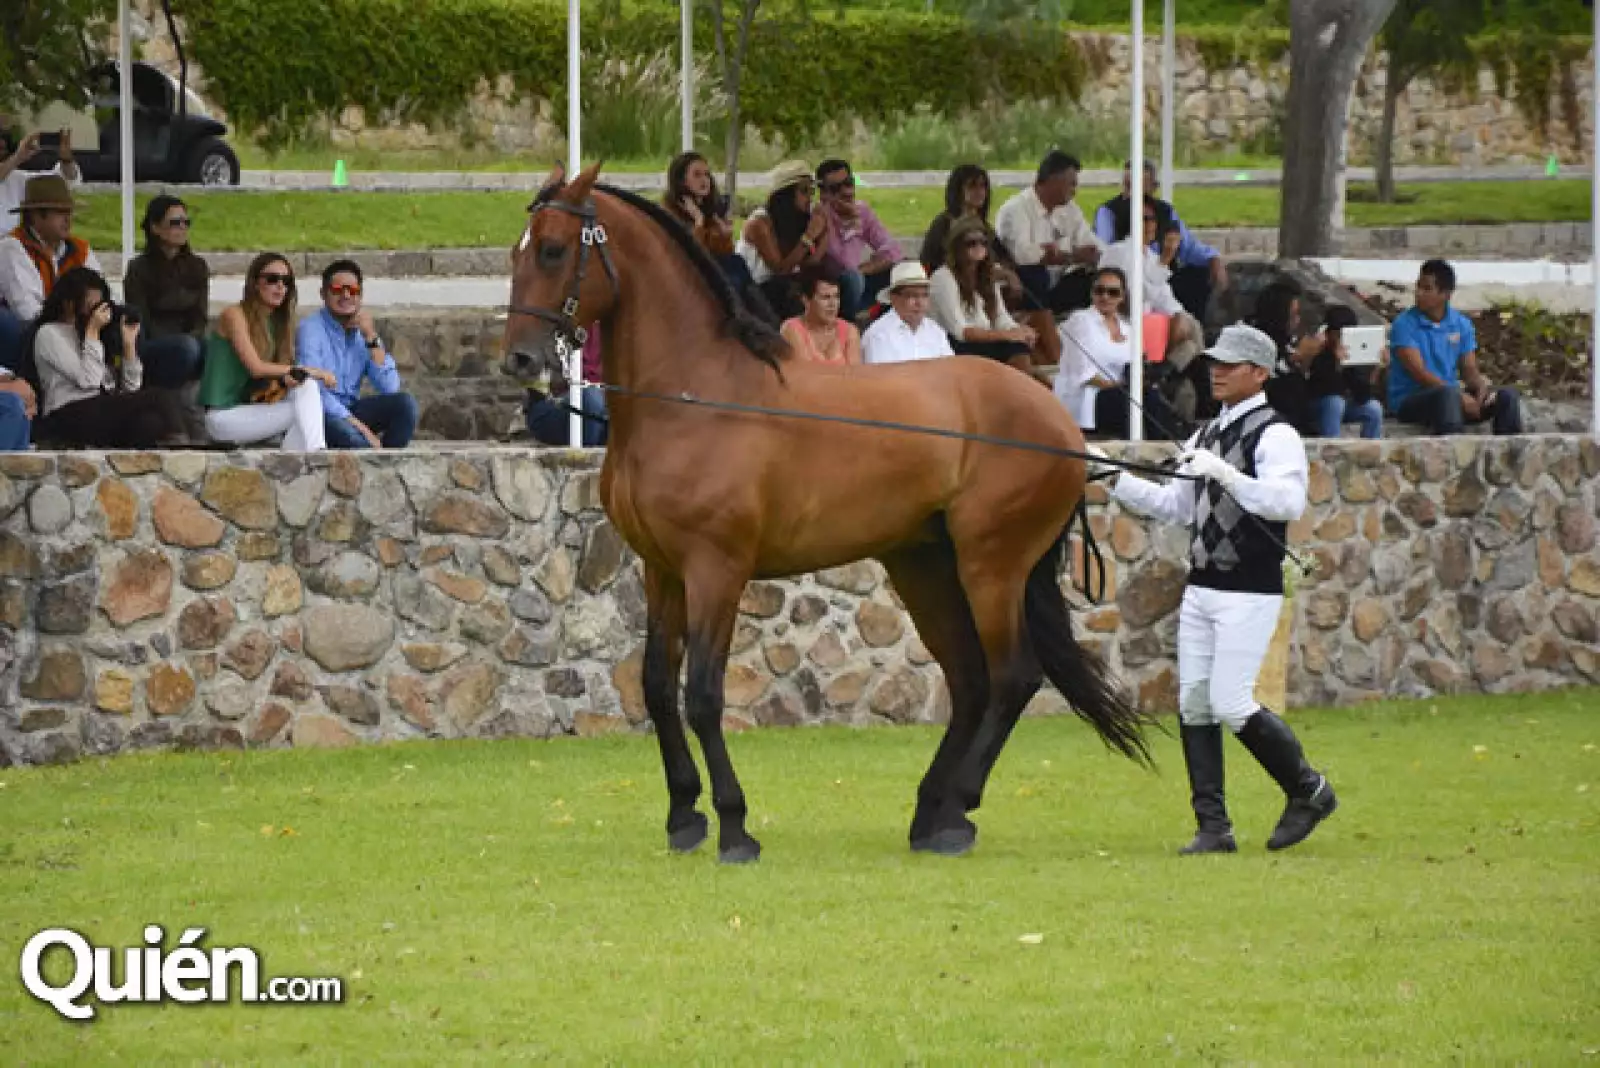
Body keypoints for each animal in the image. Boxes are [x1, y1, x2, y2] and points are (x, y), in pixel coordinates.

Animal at [502, 163, 1152, 863]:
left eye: (553, 250)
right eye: (517, 251)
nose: (519, 359)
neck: (694, 397)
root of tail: (1054, 418)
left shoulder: (716, 570)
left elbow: (702, 693)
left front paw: (734, 825)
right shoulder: (662, 569)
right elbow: (655, 685)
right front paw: (683, 816)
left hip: (992, 565)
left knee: (1011, 677)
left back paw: (957, 811)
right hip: (924, 565)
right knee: (970, 679)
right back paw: (929, 816)